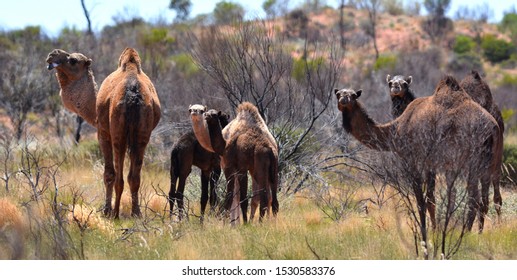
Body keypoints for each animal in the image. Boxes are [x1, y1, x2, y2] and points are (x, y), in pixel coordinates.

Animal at [46, 48, 160, 219]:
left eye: (73, 60)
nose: (52, 55)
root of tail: (133, 93)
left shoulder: (102, 132)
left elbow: (108, 174)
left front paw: (106, 210)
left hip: (118, 132)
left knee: (117, 176)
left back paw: (115, 213)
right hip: (143, 133)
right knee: (134, 176)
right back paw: (136, 213)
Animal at [334, 75, 500, 234]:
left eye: (353, 95)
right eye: (338, 94)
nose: (344, 99)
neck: (395, 129)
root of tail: (492, 129)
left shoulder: (411, 158)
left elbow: (420, 199)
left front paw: (425, 231)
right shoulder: (431, 163)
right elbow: (431, 199)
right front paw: (435, 229)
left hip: (470, 162)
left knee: (474, 198)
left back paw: (465, 233)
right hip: (488, 163)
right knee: (484, 199)